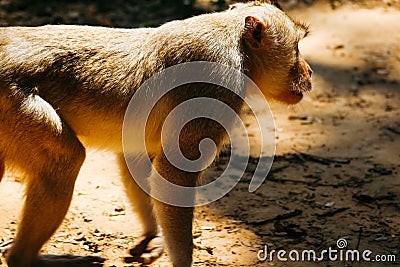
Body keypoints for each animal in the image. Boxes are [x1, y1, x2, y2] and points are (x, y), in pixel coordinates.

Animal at [0, 1, 312, 266]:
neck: (237, 45)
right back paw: (23, 259)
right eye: (297, 47)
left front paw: (154, 237)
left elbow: (136, 157)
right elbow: (174, 175)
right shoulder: (216, 86)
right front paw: (181, 259)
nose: (309, 71)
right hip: (15, 103)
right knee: (66, 159)